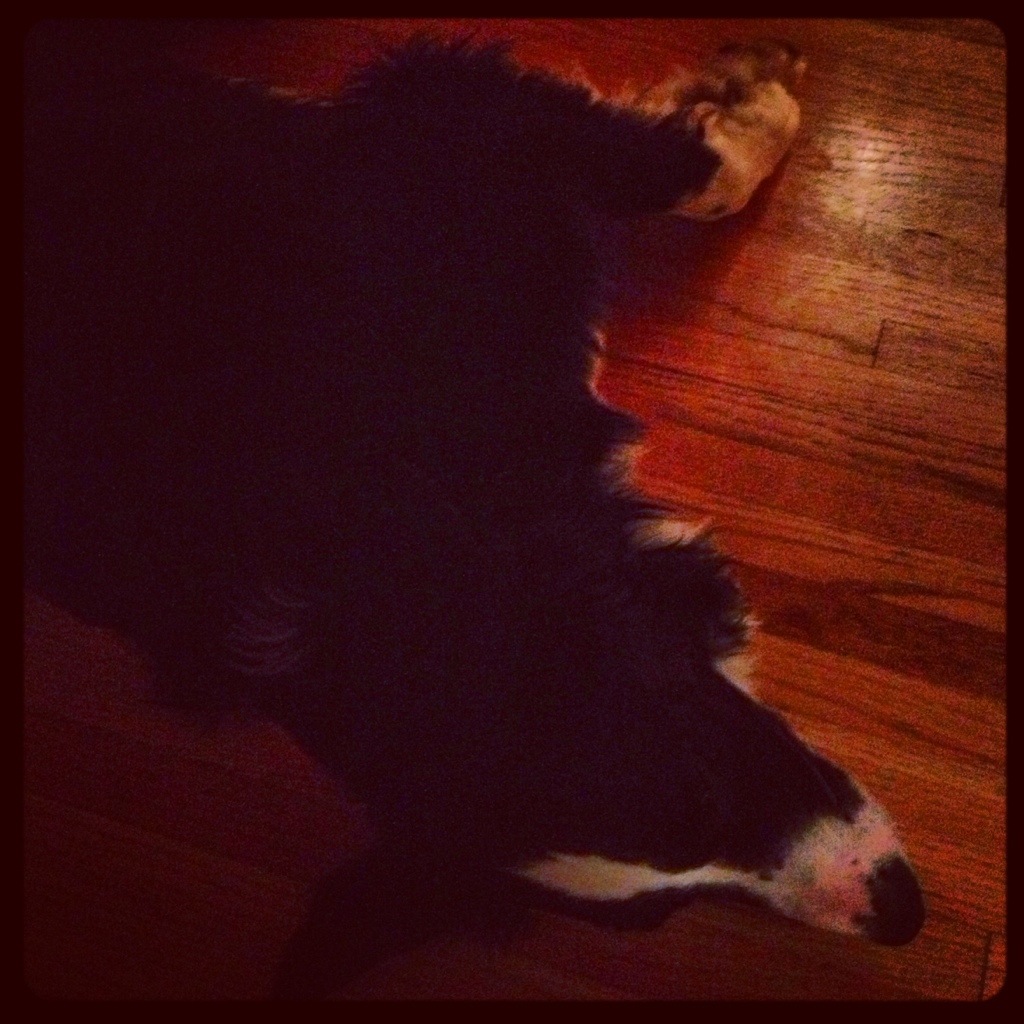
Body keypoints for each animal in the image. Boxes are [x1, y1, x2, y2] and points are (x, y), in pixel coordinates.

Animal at [24, 22, 925, 998]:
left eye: (704, 785)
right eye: (665, 912)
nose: (905, 917)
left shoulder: (445, 122)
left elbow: (684, 172)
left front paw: (749, 93)